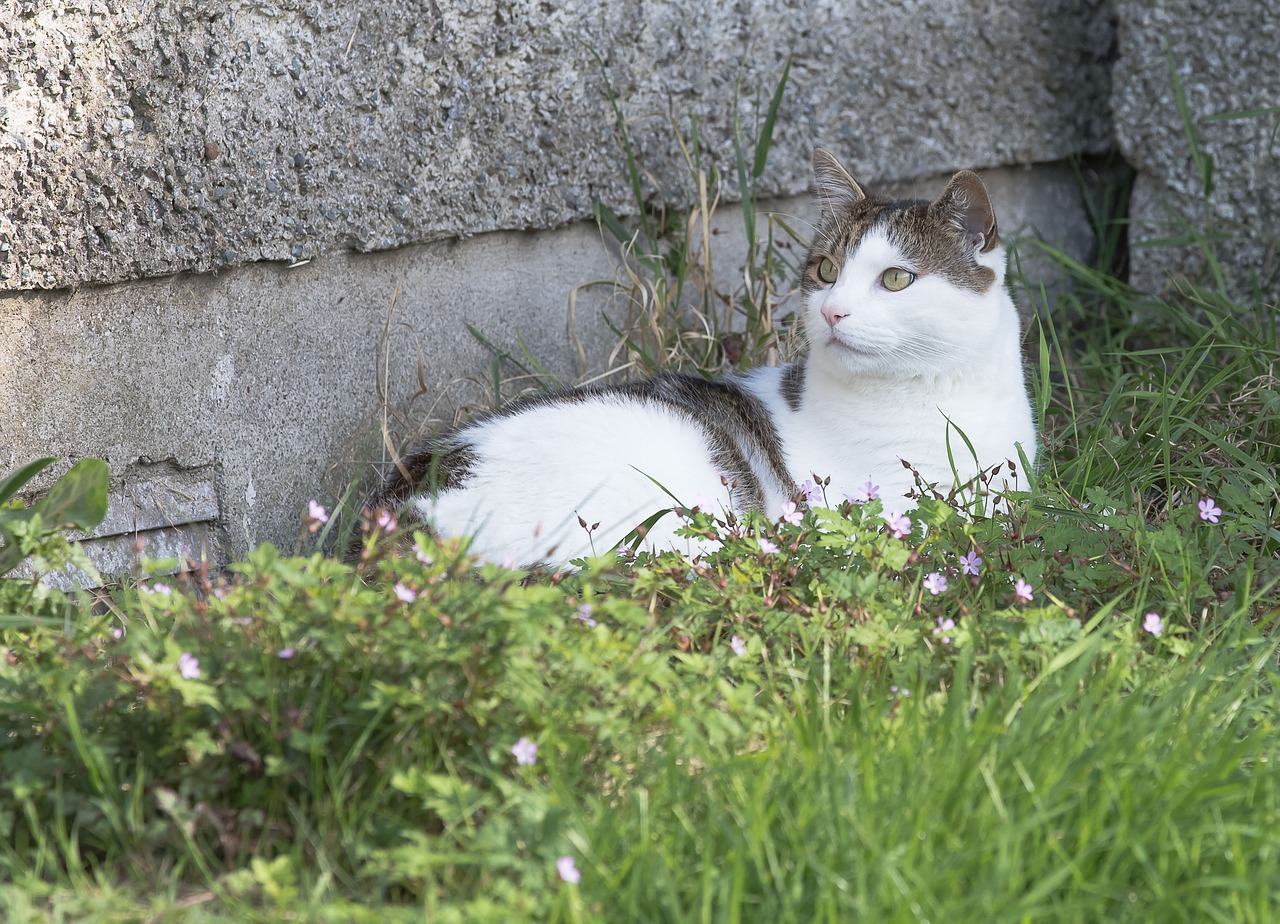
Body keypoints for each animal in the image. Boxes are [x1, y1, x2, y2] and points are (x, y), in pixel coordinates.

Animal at [371, 147, 1039, 565]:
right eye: (826, 271)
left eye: (897, 279)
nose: (832, 312)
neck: (939, 391)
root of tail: (407, 507)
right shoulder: (891, 508)